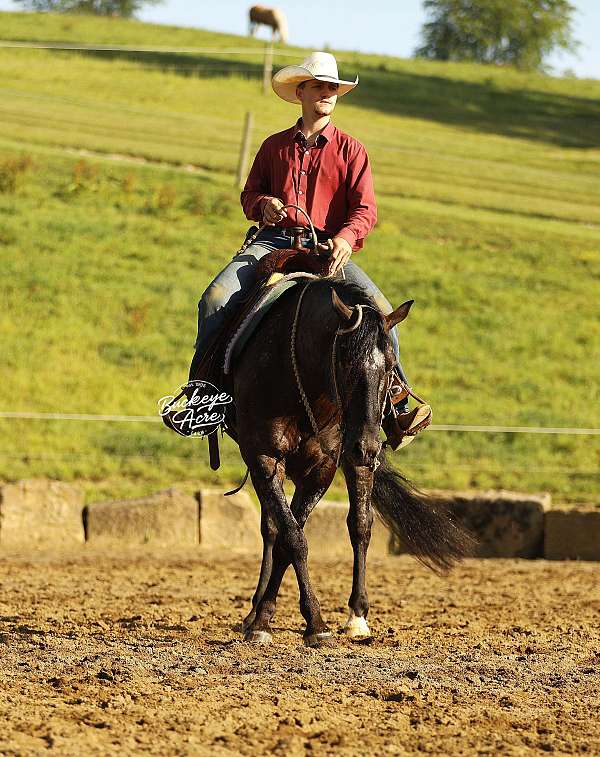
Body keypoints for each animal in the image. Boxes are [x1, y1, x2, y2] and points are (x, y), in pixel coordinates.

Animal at [232, 276, 473, 647]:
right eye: (344, 364)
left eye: (390, 367)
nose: (368, 446)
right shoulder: (264, 459)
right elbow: (292, 536)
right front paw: (295, 622)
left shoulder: (322, 469)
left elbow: (306, 535)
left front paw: (314, 619)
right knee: (272, 528)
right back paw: (254, 611)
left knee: (356, 524)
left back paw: (353, 615)